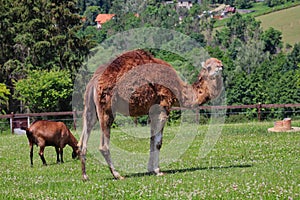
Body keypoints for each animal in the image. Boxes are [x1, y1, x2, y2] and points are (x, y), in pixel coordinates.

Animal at [77, 49, 223, 180]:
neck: (179, 91)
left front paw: (150, 169)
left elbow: (152, 140)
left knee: (83, 140)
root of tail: (94, 81)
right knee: (103, 145)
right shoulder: (162, 108)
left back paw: (85, 176)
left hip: (90, 108)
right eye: (209, 67)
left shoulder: (152, 112)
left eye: (219, 63)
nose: (221, 66)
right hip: (106, 109)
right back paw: (117, 175)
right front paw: (158, 170)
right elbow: (158, 142)